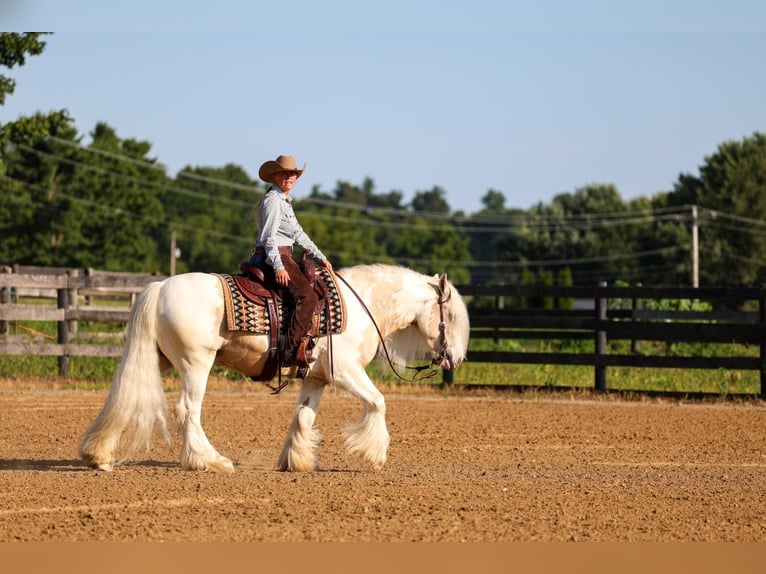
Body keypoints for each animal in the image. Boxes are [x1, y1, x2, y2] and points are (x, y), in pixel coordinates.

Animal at [78, 263, 470, 473]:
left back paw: (99, 456)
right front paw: (373, 455)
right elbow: (378, 402)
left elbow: (303, 418)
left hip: (156, 360)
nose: (454, 359)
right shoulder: (345, 372)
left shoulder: (316, 378)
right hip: (196, 362)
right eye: (449, 316)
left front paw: (296, 461)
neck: (362, 306)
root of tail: (160, 287)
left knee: (129, 398)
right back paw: (209, 461)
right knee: (188, 409)